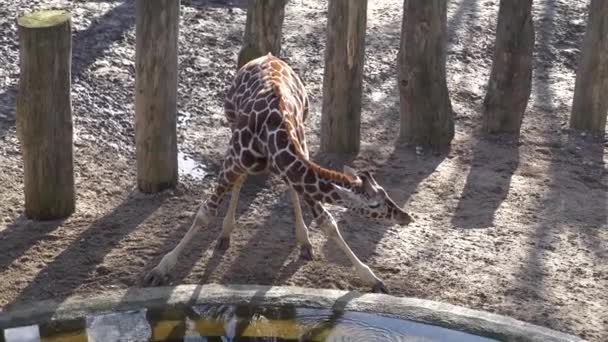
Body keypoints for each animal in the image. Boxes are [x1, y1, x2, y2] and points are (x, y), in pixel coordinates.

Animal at [145, 52, 414, 292]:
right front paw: (159, 270)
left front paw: (374, 280)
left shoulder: (299, 153)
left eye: (385, 193)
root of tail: (267, 55)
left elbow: (327, 222)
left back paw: (303, 243)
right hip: (231, 125)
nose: (405, 217)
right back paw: (224, 235)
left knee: (284, 187)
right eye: (375, 205)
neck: (272, 138)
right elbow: (204, 213)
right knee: (241, 180)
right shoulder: (234, 158)